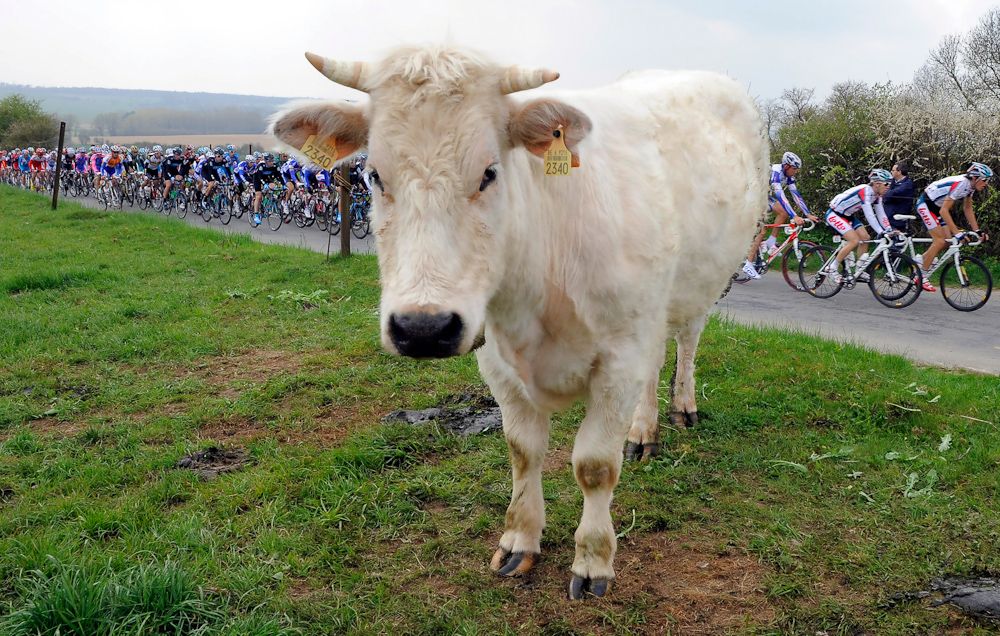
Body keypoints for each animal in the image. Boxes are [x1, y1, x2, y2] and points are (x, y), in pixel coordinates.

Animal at [270, 45, 767, 600]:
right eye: (373, 175)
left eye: (489, 172)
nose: (422, 328)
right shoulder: (498, 361)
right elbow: (523, 452)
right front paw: (519, 541)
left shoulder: (619, 357)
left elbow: (594, 465)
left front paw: (593, 560)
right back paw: (643, 431)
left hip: (699, 286)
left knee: (685, 342)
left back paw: (681, 408)